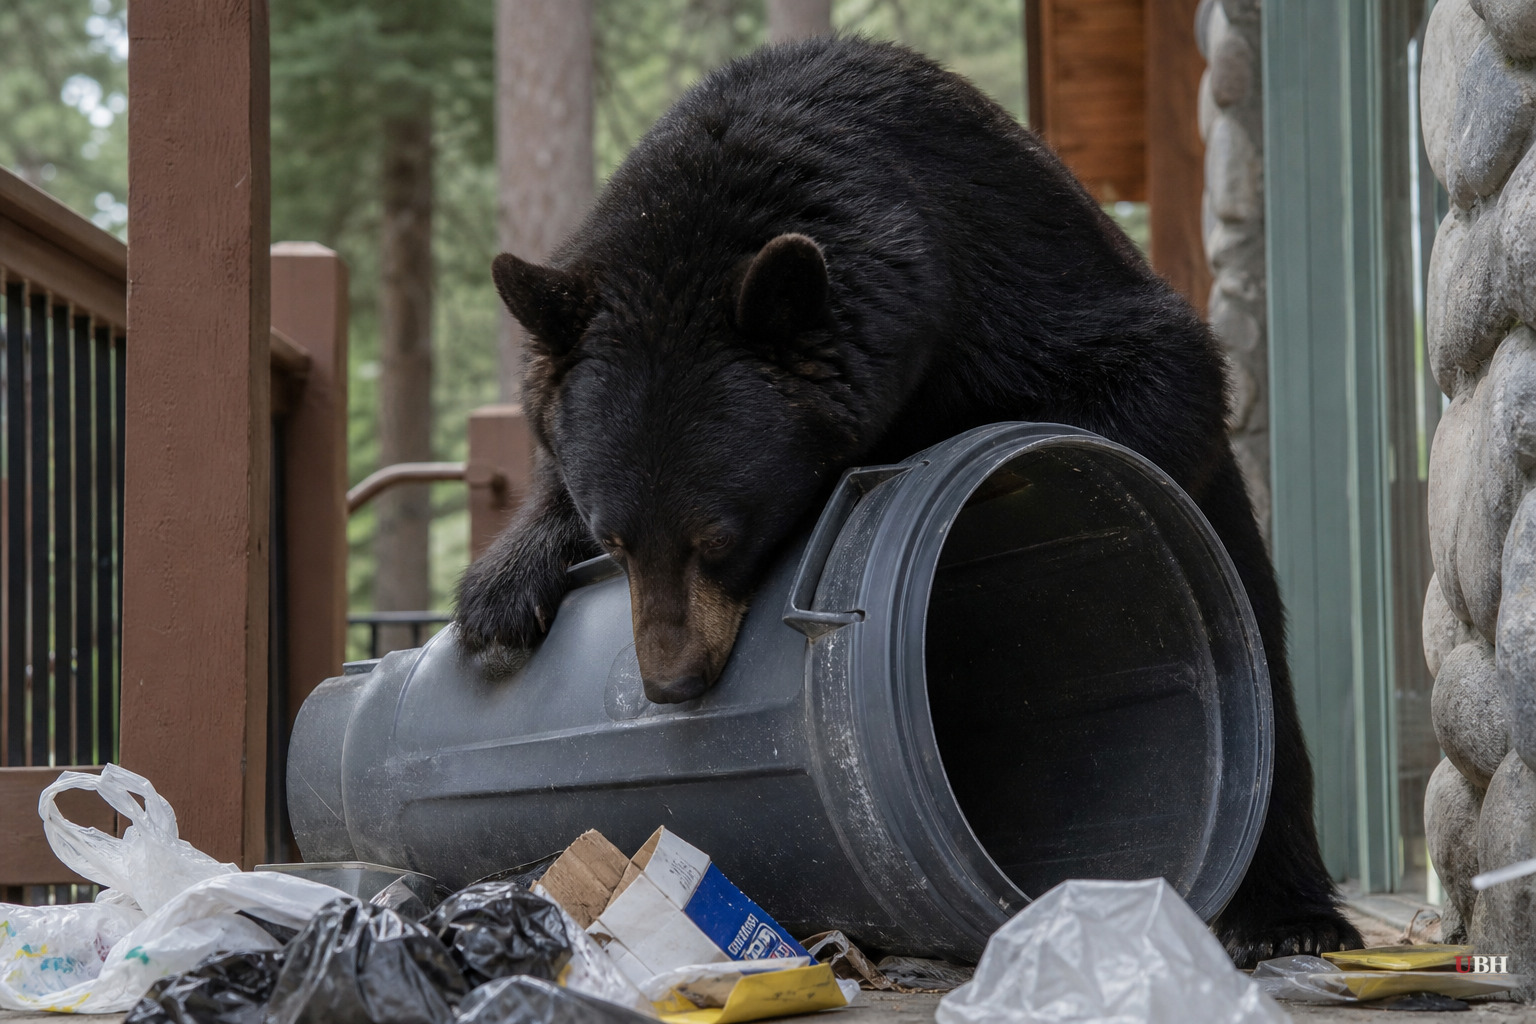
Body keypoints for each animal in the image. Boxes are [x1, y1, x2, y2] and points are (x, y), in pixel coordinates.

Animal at [455, 36, 1361, 966]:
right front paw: (501, 589)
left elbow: (1161, 371)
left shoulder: (1006, 257)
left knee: (1268, 709)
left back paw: (1287, 915)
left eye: (721, 539)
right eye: (616, 541)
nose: (671, 682)